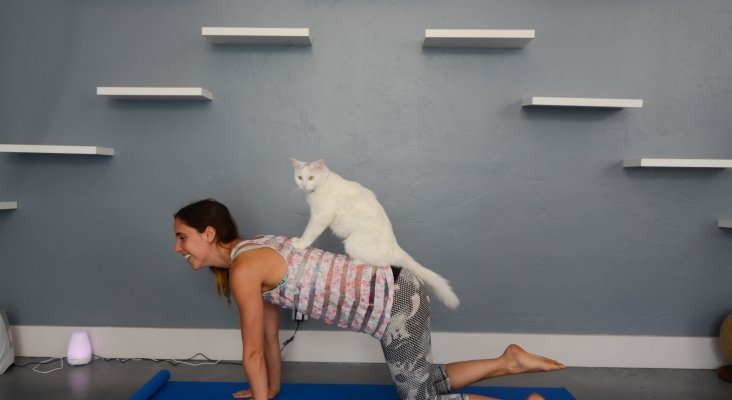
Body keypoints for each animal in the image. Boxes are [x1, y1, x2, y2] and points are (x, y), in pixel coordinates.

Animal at [290, 158, 458, 308]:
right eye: (300, 177)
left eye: (311, 177)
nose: (304, 185)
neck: (319, 187)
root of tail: (394, 245)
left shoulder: (320, 217)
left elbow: (309, 233)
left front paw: (299, 244)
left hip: (353, 242)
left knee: (383, 263)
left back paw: (356, 261)